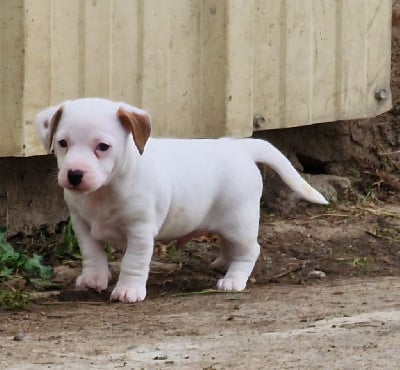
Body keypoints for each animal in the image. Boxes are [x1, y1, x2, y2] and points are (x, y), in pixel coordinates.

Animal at [35, 98, 328, 304]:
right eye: (62, 143)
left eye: (103, 147)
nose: (74, 175)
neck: (105, 191)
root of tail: (239, 147)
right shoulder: (82, 226)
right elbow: (92, 254)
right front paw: (94, 279)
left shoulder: (140, 232)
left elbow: (133, 262)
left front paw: (128, 290)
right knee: (228, 245)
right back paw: (223, 264)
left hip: (239, 222)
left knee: (249, 251)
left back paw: (233, 280)